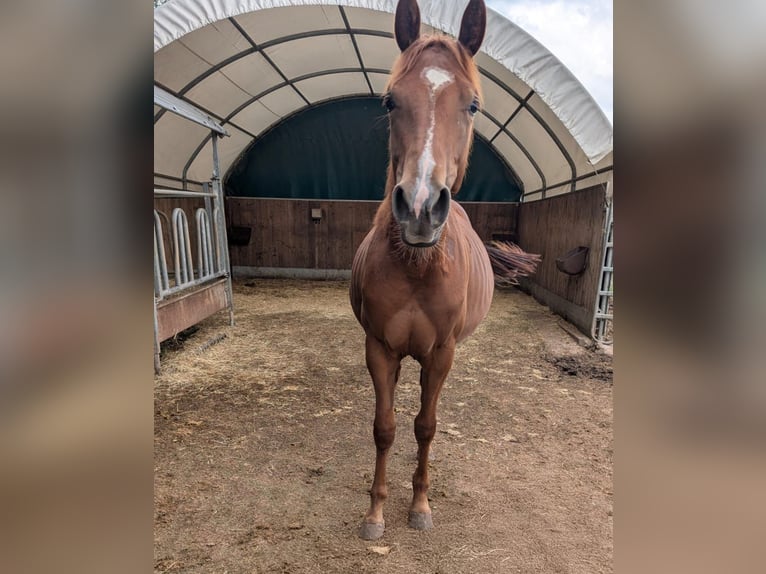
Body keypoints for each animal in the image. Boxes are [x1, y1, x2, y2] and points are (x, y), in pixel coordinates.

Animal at [350, 0, 540, 540]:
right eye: (390, 101)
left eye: (472, 105)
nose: (419, 208)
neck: (418, 269)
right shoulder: (380, 349)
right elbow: (385, 427)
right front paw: (376, 513)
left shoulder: (441, 354)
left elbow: (425, 426)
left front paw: (420, 506)